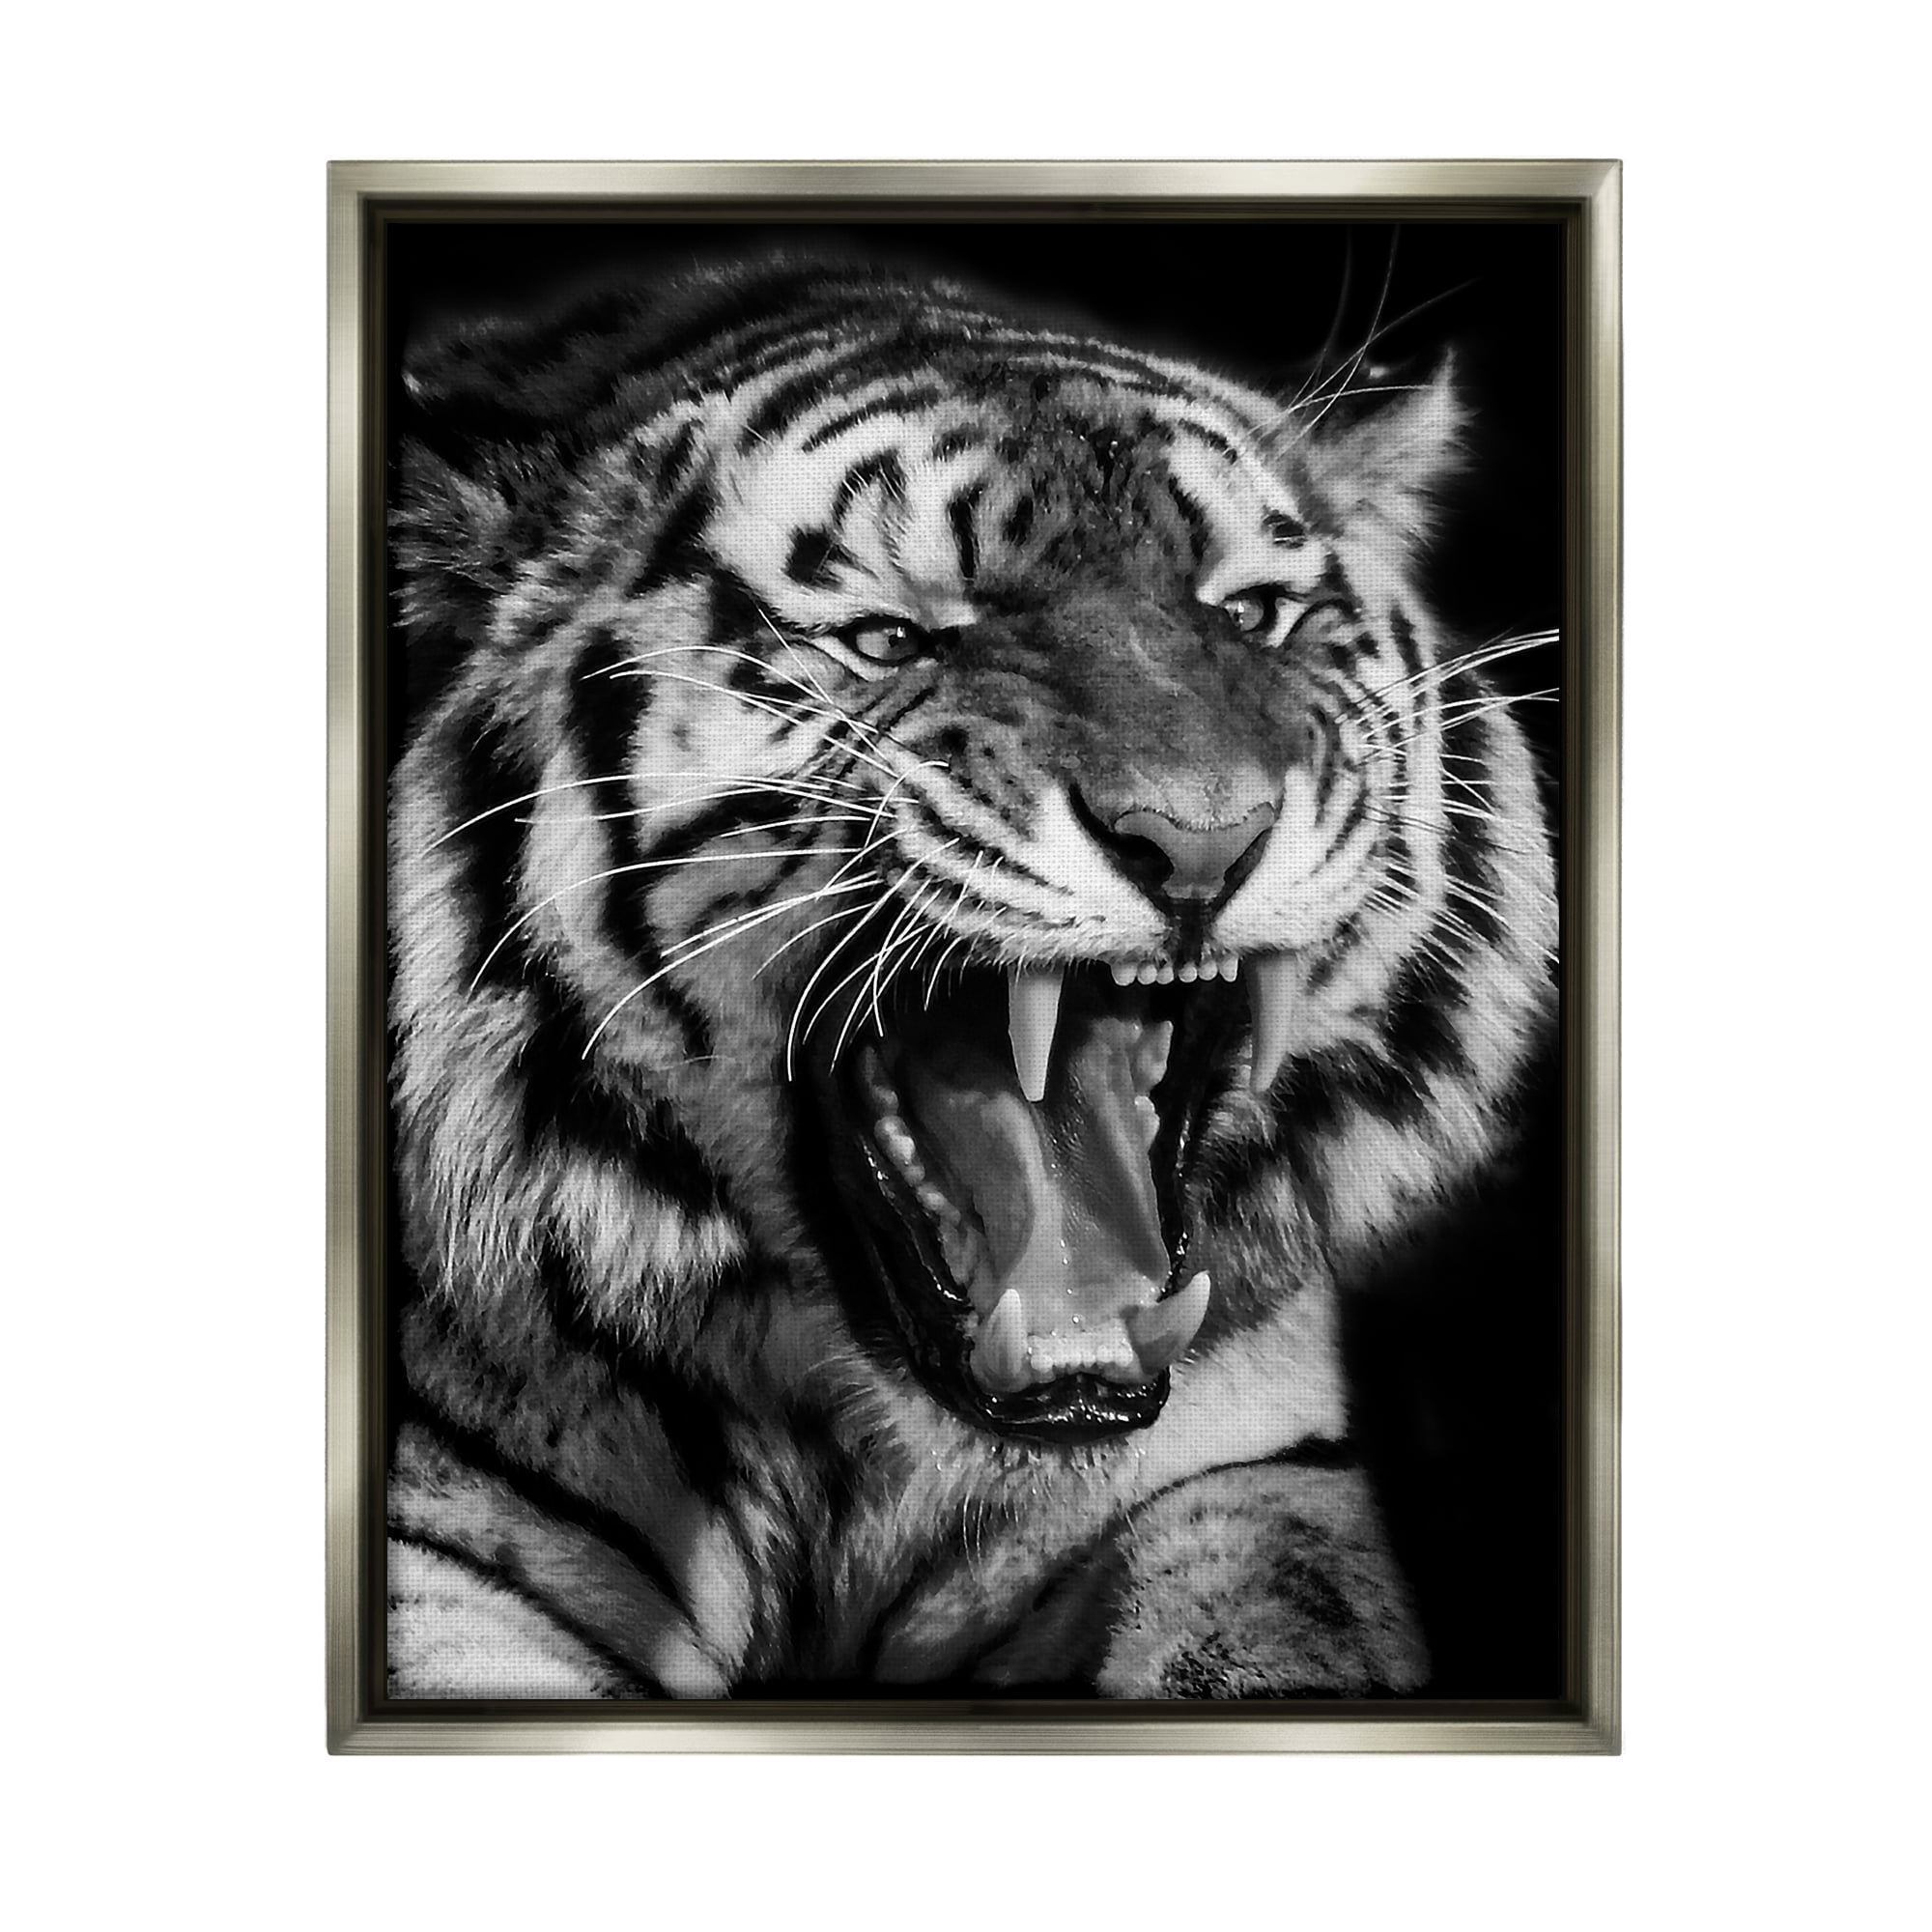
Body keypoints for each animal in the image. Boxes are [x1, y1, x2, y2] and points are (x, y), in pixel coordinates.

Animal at [385, 256, 1557, 1700]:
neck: (846, 1453)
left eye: (1250, 616)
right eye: (892, 640)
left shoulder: (1246, 1474)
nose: (1202, 838)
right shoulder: (440, 1552)